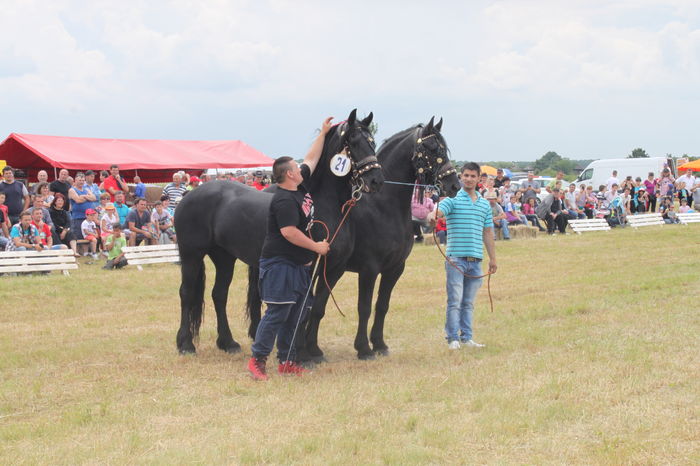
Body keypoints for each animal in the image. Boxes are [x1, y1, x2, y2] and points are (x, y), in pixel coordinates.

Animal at [174, 109, 384, 355]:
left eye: (372, 142)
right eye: (354, 141)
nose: (376, 180)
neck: (326, 205)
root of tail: (188, 196)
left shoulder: (334, 268)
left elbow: (318, 307)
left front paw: (314, 350)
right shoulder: (309, 265)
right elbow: (304, 307)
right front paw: (301, 351)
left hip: (224, 257)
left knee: (219, 294)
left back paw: (228, 342)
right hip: (192, 254)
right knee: (187, 293)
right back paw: (186, 344)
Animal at [296, 117, 461, 361]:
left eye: (444, 148)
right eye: (432, 148)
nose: (454, 185)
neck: (383, 206)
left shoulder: (395, 268)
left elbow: (382, 305)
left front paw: (380, 344)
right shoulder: (369, 269)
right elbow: (364, 307)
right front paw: (364, 348)